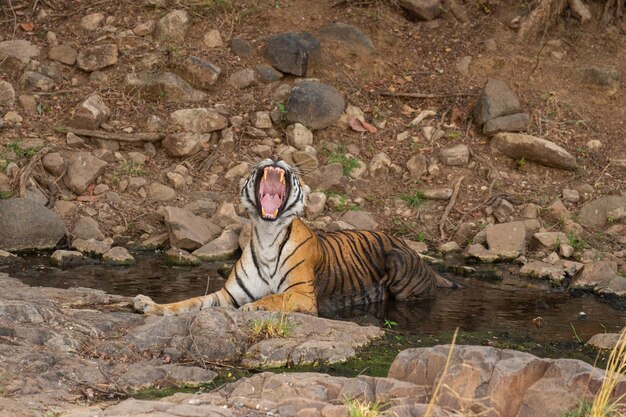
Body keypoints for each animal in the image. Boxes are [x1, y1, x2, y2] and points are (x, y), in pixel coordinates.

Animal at [134, 158, 456, 316]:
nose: (276, 155)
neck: (267, 234)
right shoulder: (228, 295)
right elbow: (190, 302)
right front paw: (150, 304)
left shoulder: (301, 294)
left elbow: (275, 296)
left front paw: (255, 307)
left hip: (399, 267)